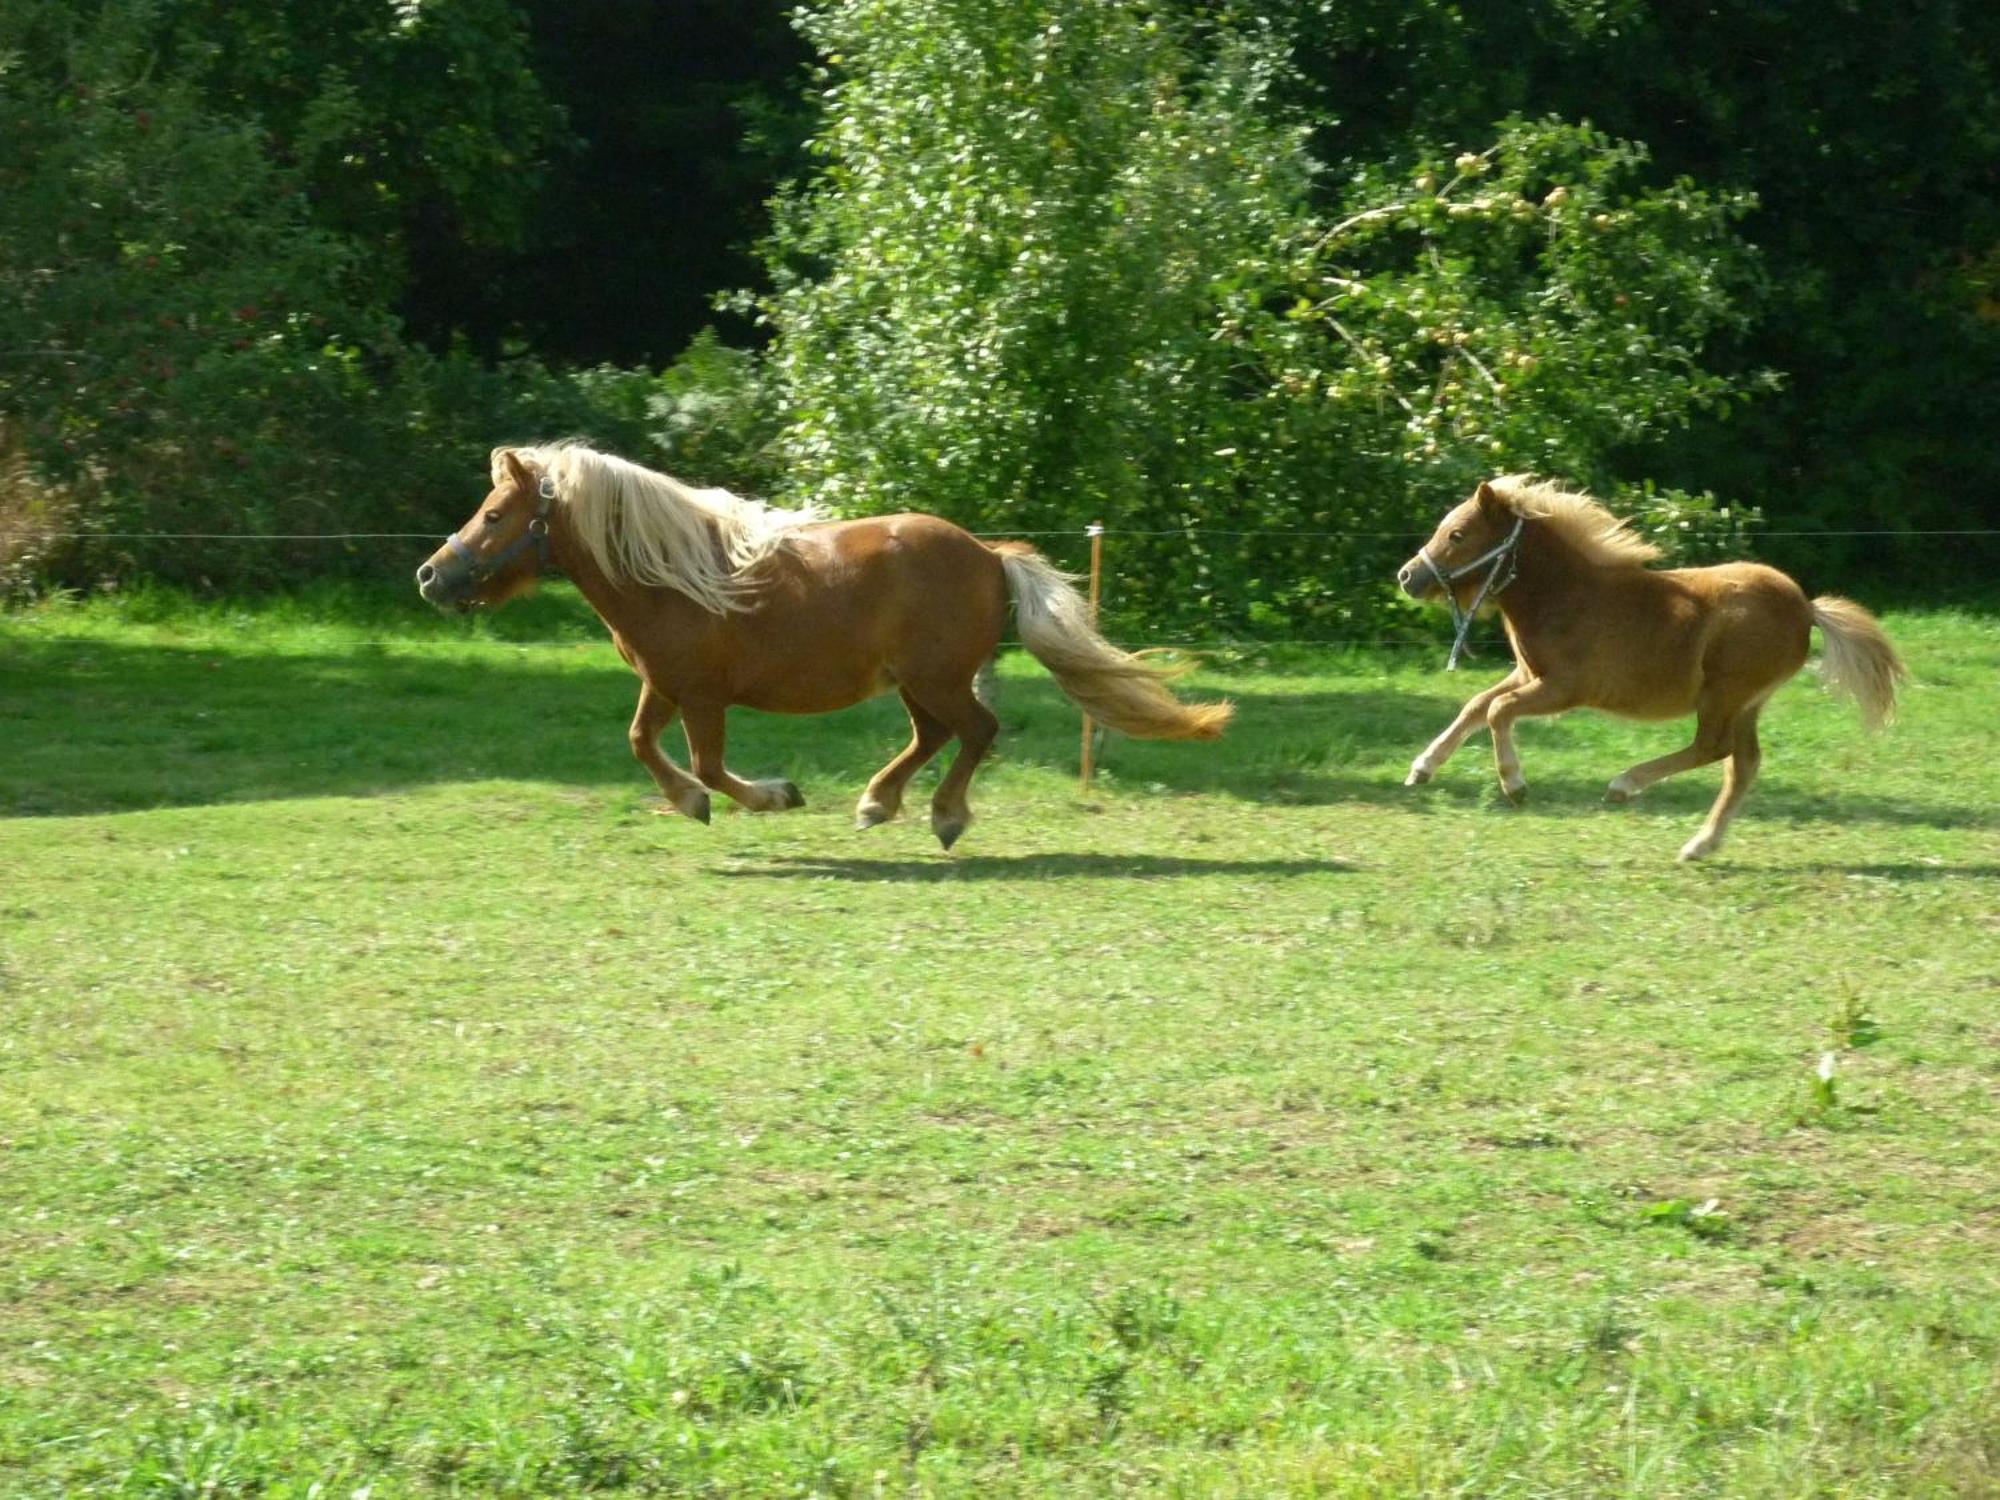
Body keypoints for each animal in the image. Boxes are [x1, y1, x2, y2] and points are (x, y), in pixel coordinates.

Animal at [414, 444, 1224, 848]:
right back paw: (876, 804)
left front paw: (771, 796)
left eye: (494, 515)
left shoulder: (703, 695)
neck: (672, 575)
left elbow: (709, 766)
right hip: (916, 682)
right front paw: (691, 805)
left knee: (976, 731)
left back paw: (943, 817)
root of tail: (991, 555)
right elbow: (643, 744)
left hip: (938, 677)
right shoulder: (664, 685)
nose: (430, 575)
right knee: (937, 737)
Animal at [1400, 476, 1896, 864]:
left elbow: (1498, 710)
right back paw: (1699, 845)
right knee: (1743, 764)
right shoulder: (1529, 676)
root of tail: (1806, 608)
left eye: (1458, 535)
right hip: (1747, 703)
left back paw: (1625, 786)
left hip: (1725, 694)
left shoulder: (1564, 688)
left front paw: (1515, 785)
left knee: (1713, 748)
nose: (1407, 577)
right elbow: (1476, 705)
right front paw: (1422, 767)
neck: (1566, 597)